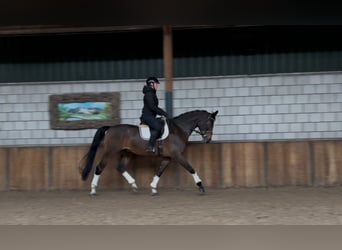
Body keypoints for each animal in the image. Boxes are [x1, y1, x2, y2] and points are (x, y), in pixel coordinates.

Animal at [80, 109, 218, 195]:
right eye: (209, 122)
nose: (208, 139)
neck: (178, 129)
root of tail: (110, 128)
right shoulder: (177, 155)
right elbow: (191, 168)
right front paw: (201, 186)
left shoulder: (168, 157)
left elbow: (160, 171)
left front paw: (153, 188)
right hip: (110, 151)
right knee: (99, 167)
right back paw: (93, 190)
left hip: (127, 152)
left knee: (120, 167)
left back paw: (134, 185)